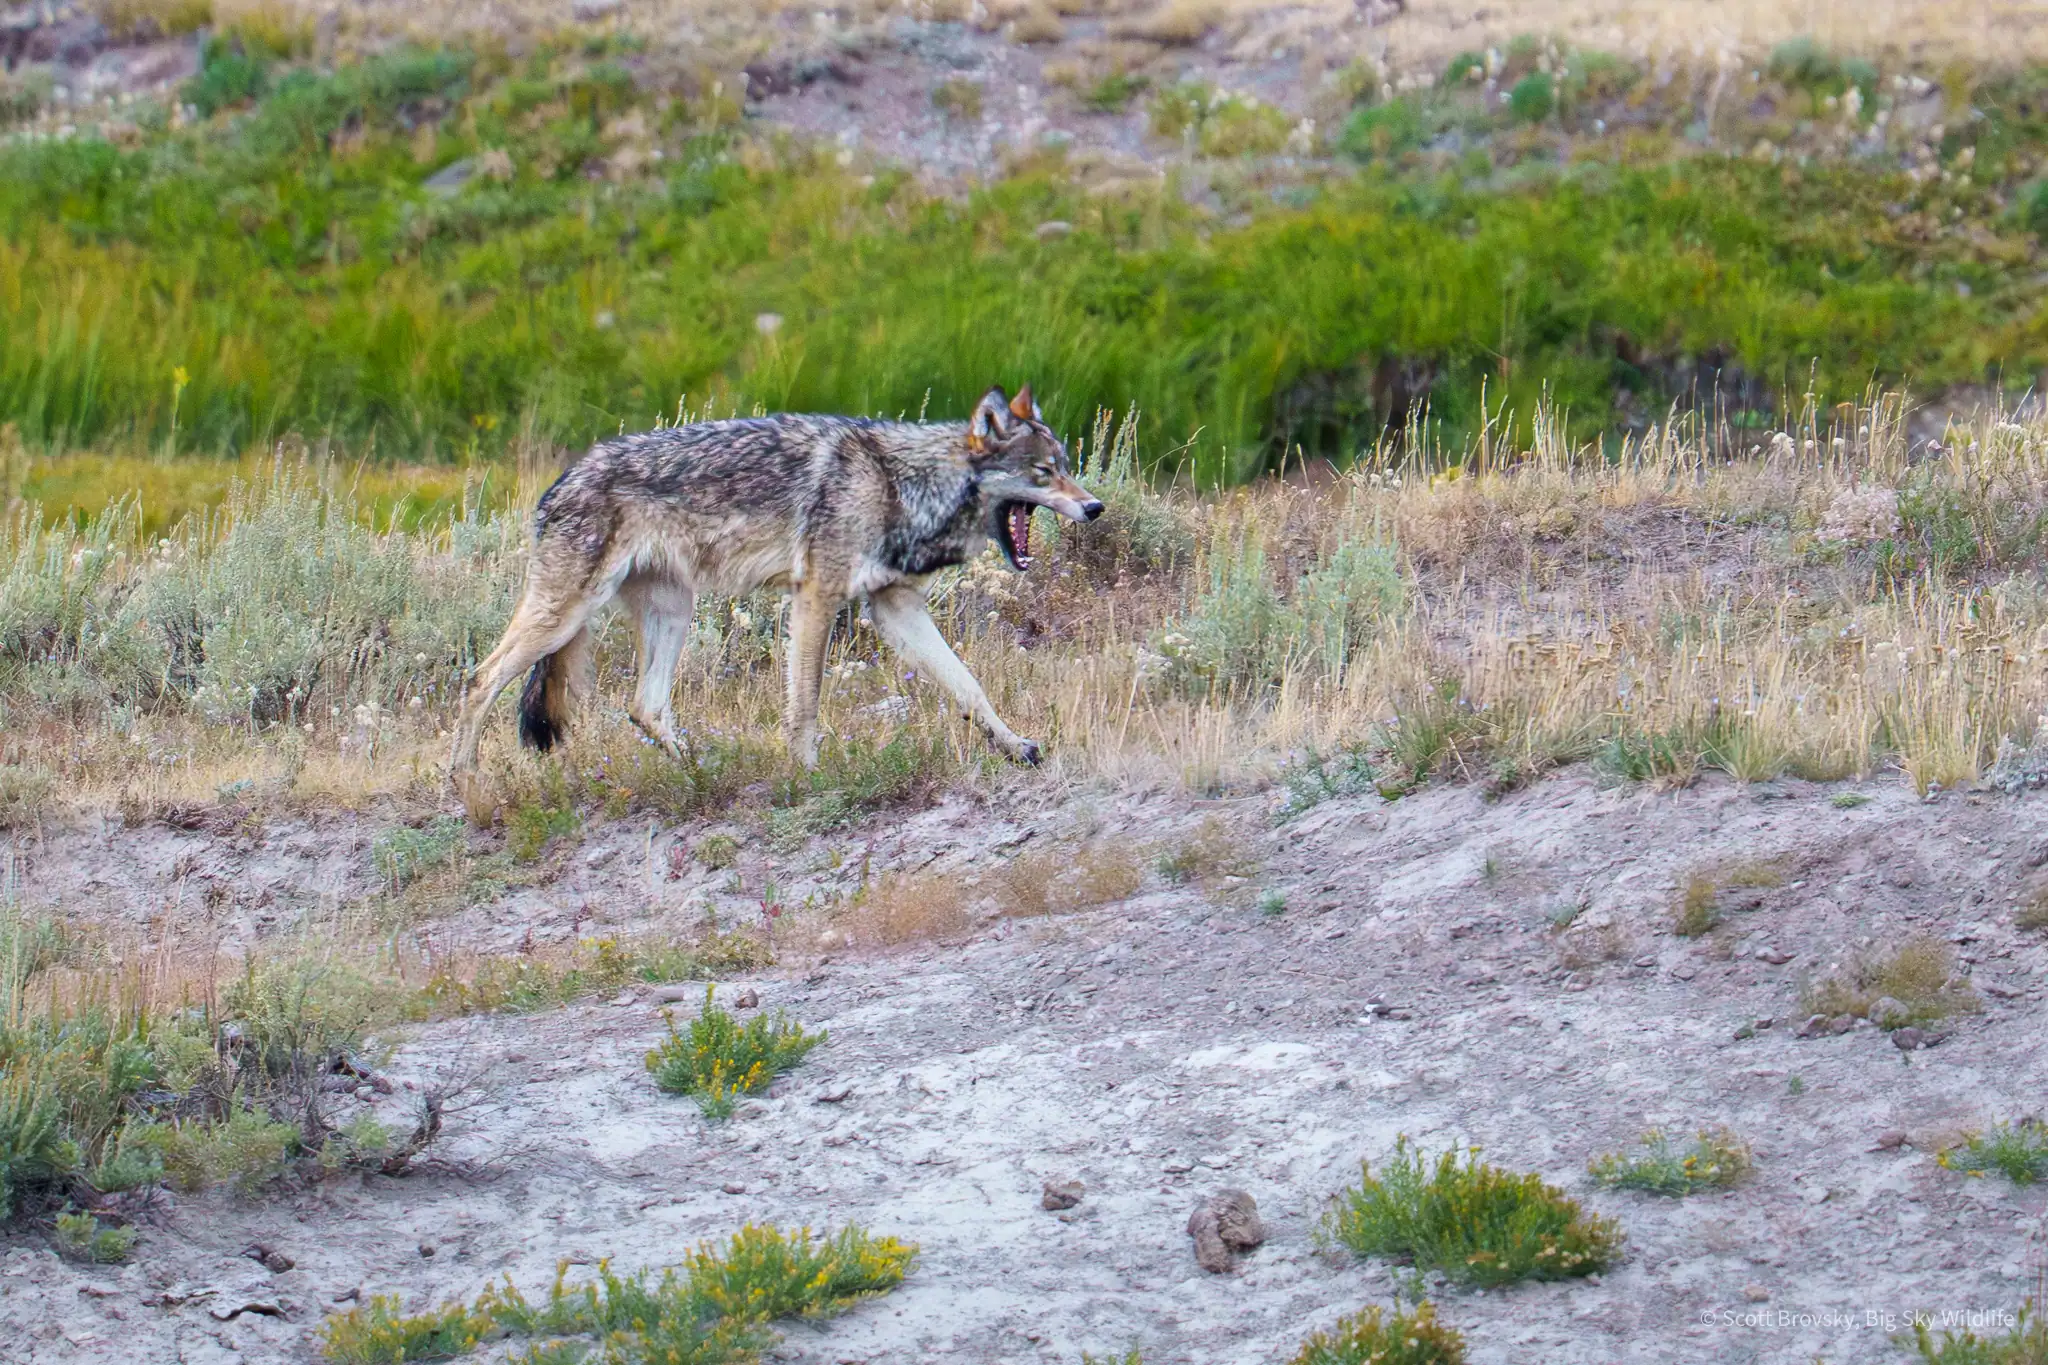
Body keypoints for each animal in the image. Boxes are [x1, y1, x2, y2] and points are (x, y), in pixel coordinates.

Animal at [448, 384, 1103, 803]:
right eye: (1044, 473)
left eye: (1067, 466)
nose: (1095, 507)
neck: (903, 485)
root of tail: (558, 482)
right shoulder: (815, 597)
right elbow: (805, 704)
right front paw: (807, 776)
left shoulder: (894, 607)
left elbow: (969, 686)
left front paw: (1017, 748)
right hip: (565, 617)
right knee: (480, 680)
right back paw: (467, 788)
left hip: (673, 612)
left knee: (645, 706)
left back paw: (706, 773)